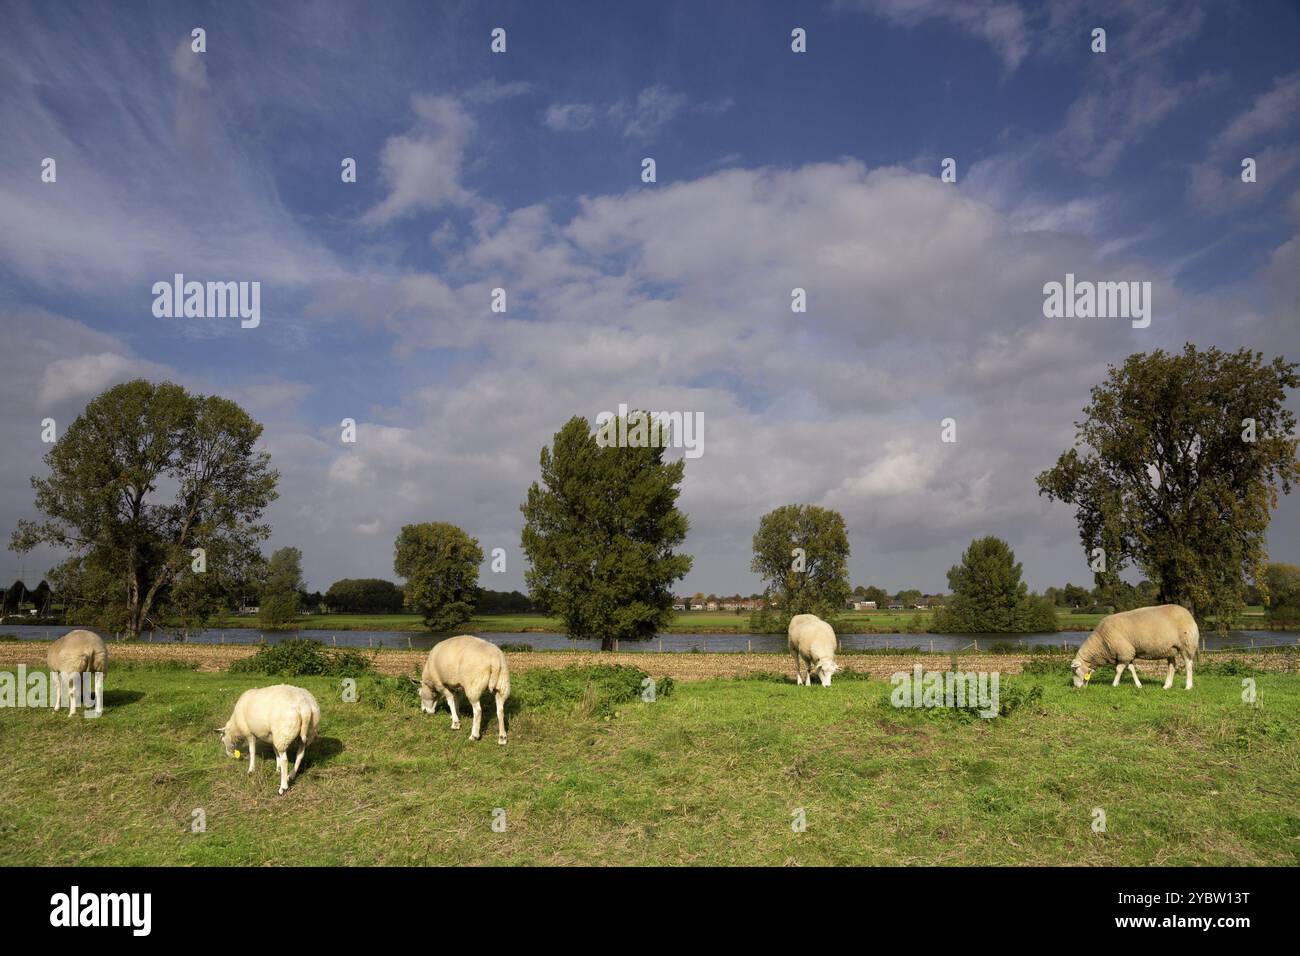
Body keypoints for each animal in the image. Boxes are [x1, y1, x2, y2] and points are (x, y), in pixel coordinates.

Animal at [1066, 600, 1196, 691]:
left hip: (1187, 644)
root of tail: (1188, 613)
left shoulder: (1124, 652)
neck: (1101, 642)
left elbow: (1118, 669)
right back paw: (1167, 686)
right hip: (1171, 649)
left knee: (1188, 665)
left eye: (1075, 671)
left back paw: (1188, 686)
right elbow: (1131, 669)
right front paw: (1138, 685)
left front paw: (1114, 684)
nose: (1076, 688)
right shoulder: (1127, 653)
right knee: (1172, 666)